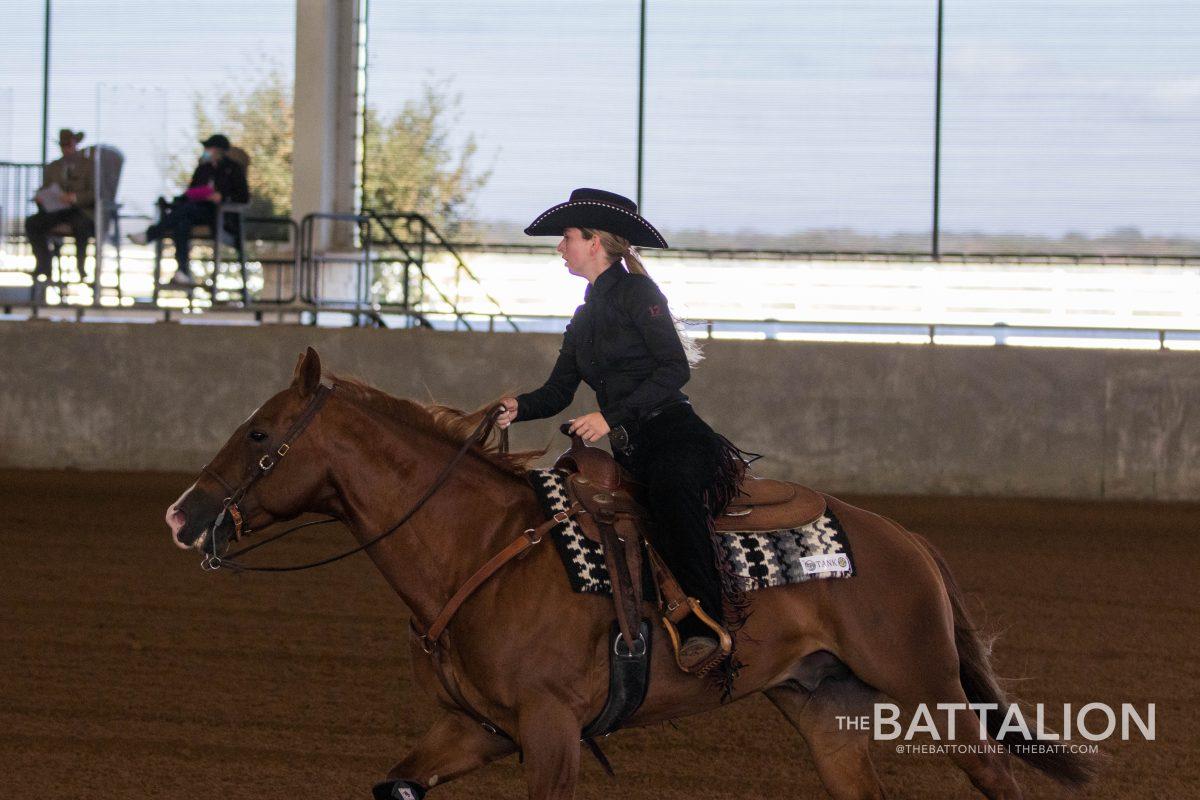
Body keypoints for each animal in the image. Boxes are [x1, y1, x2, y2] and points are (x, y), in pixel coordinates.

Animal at [169, 350, 1099, 800]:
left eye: (259, 434)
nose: (181, 516)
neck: (477, 546)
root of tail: (907, 539)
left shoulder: (551, 733)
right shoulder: (476, 728)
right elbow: (396, 784)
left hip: (930, 686)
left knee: (996, 775)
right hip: (824, 708)